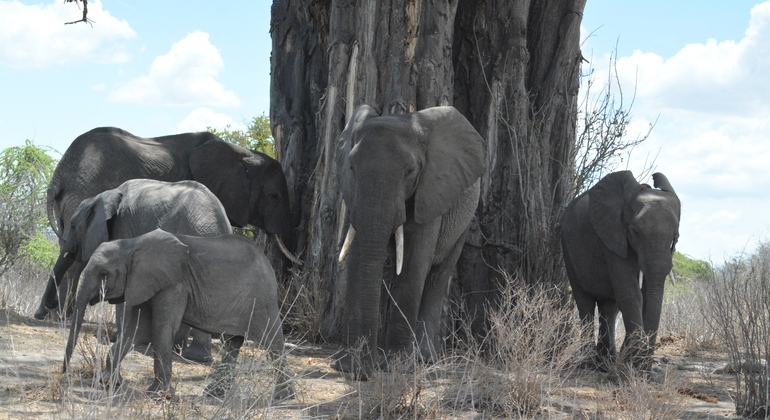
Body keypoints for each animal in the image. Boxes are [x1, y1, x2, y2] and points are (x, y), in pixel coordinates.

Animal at [36, 126, 302, 320]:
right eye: (274, 196)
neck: (242, 153)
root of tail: (59, 174)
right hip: (84, 190)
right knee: (77, 258)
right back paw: (62, 316)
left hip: (71, 200)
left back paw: (51, 315)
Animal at [39, 179, 232, 362]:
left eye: (72, 225)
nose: (48, 307)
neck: (104, 196)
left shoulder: (122, 226)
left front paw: (117, 338)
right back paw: (186, 352)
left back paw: (189, 354)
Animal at [61, 228, 292, 398]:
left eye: (104, 274)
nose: (63, 373)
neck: (132, 244)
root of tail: (267, 263)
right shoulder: (144, 282)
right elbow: (137, 332)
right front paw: (109, 383)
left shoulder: (174, 284)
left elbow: (160, 328)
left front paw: (158, 394)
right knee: (232, 343)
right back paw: (214, 394)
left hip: (261, 300)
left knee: (272, 342)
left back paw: (282, 398)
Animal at [332, 103, 486, 378]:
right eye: (351, 168)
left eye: (410, 171)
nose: (363, 371)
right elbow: (359, 251)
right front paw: (350, 365)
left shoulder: (431, 191)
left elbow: (414, 264)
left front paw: (396, 365)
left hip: (464, 220)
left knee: (438, 276)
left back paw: (425, 357)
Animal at [560, 171, 680, 370]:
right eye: (635, 231)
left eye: (675, 236)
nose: (645, 366)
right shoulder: (612, 235)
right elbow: (631, 292)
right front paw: (634, 365)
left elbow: (645, 294)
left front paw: (634, 365)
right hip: (567, 248)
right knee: (584, 303)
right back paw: (587, 363)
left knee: (609, 308)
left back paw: (606, 363)